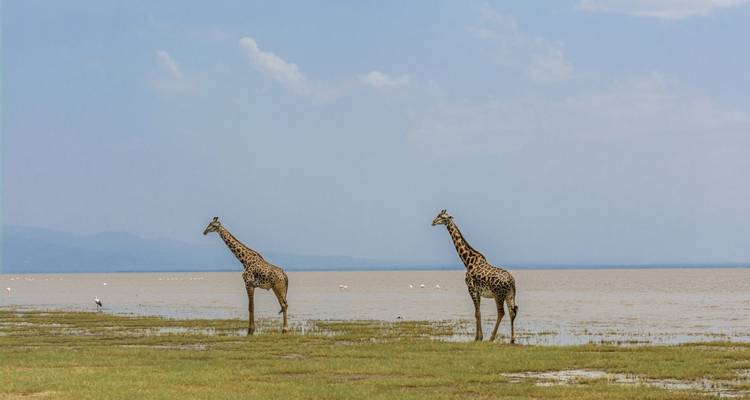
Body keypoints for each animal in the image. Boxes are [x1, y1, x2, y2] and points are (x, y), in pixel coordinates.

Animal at [431, 210, 518, 343]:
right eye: (437, 215)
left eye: (443, 217)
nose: (433, 222)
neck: (468, 261)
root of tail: (512, 282)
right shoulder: (478, 291)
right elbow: (479, 312)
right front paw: (479, 337)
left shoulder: (470, 288)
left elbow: (476, 313)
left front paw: (478, 338)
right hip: (510, 295)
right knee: (512, 312)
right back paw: (512, 340)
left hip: (498, 295)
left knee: (501, 313)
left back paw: (491, 338)